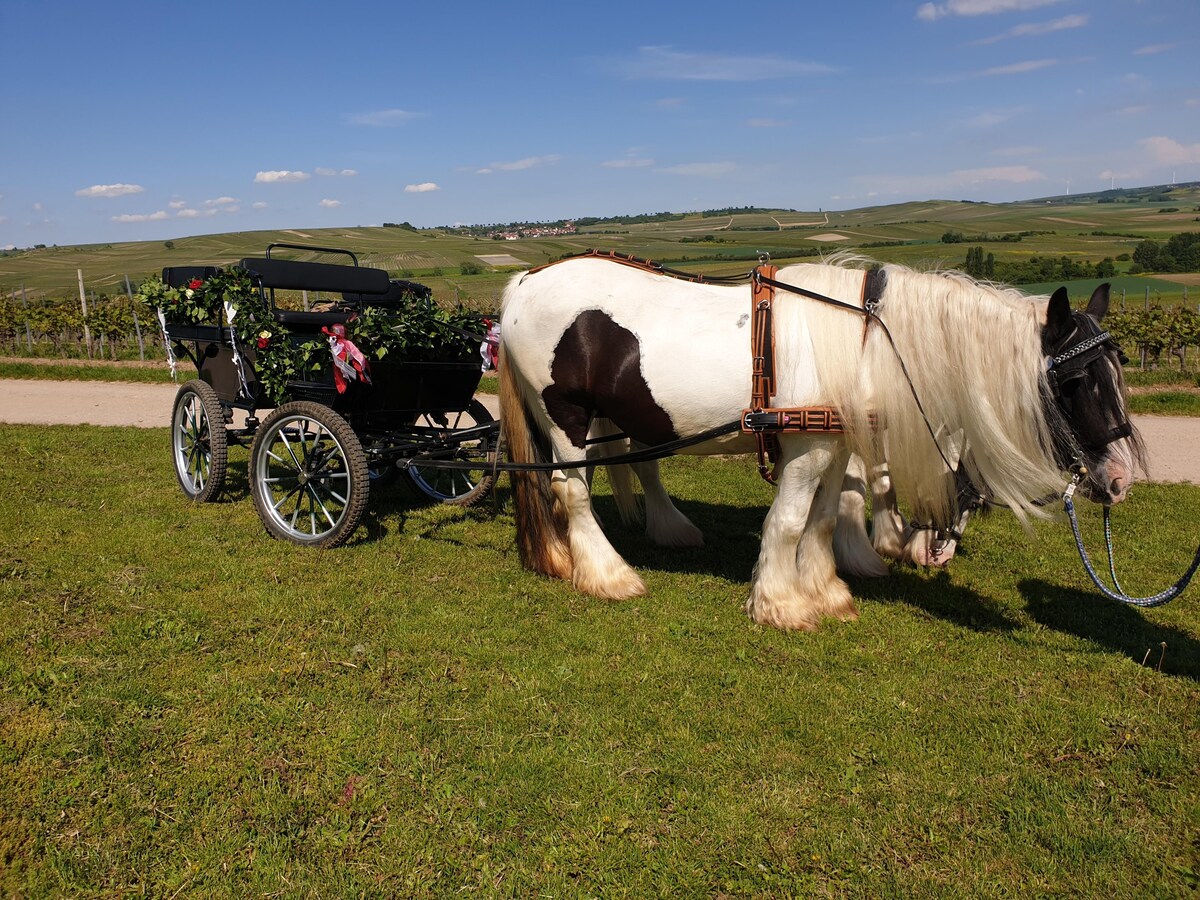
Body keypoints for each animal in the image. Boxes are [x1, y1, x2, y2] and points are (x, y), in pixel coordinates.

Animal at [501, 255, 1137, 633]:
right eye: (1075, 382)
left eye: (1118, 370)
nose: (1120, 479)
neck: (867, 338)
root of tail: (523, 283)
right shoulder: (807, 447)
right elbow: (787, 520)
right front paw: (780, 603)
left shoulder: (835, 444)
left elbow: (828, 515)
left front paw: (826, 588)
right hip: (566, 417)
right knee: (572, 492)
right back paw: (607, 573)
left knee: (622, 470)